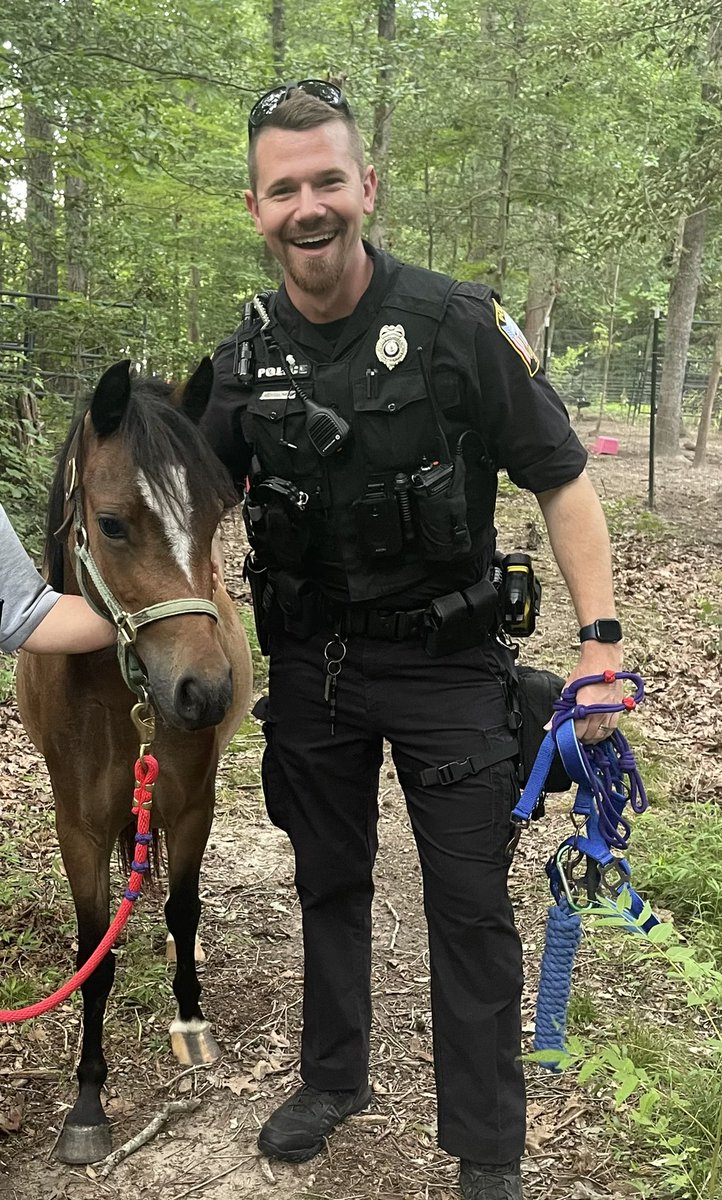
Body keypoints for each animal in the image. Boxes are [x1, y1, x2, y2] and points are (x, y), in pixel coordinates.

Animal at [16, 358, 253, 1165]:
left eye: (216, 515)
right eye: (113, 524)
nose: (204, 694)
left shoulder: (190, 804)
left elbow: (184, 907)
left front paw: (192, 1023)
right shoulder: (78, 830)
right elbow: (95, 955)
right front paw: (88, 1102)